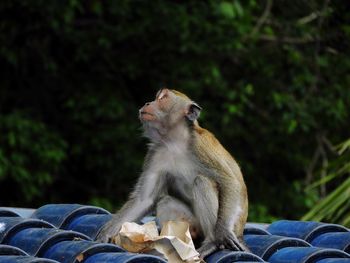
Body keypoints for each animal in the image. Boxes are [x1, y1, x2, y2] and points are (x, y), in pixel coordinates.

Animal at [95, 89, 249, 260]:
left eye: (163, 98)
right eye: (156, 98)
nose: (147, 103)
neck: (175, 142)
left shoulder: (201, 145)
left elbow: (229, 181)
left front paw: (222, 233)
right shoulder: (156, 154)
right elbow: (144, 200)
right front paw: (107, 232)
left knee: (202, 182)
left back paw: (212, 243)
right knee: (165, 202)